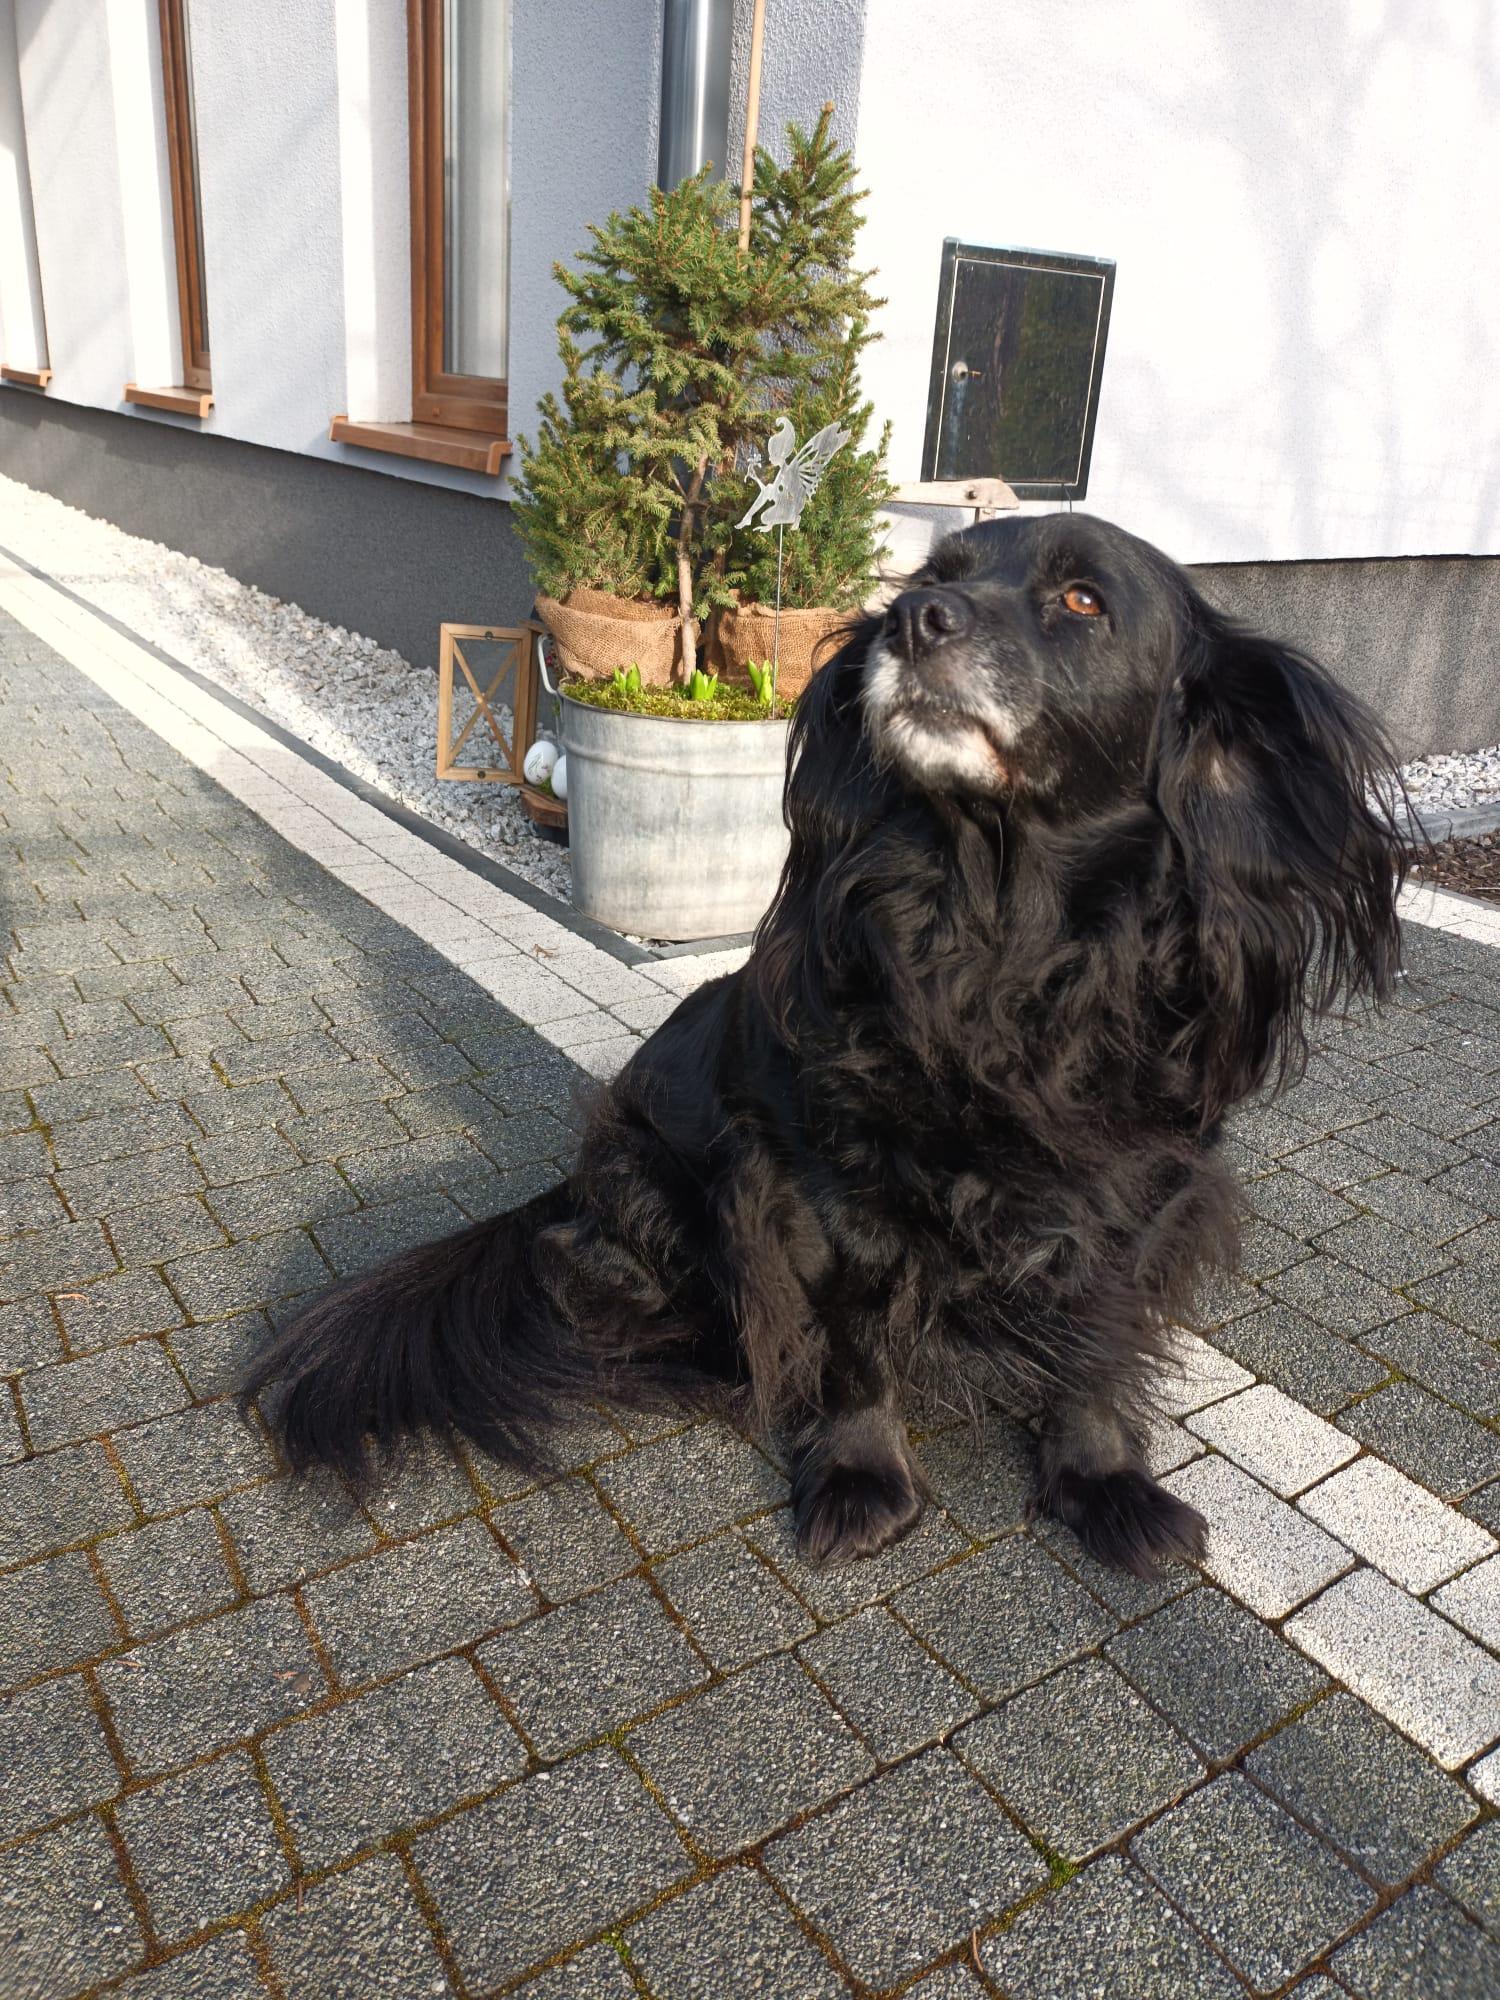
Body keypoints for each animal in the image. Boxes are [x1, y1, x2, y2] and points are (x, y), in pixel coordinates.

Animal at [246, 513, 1407, 1576]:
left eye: (1083, 600)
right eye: (930, 577)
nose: (918, 620)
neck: (1000, 932)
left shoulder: (1138, 1194)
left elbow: (1099, 1339)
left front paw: (1103, 1480)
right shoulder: (816, 1186)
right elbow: (853, 1342)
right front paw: (859, 1476)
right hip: (643, 1176)